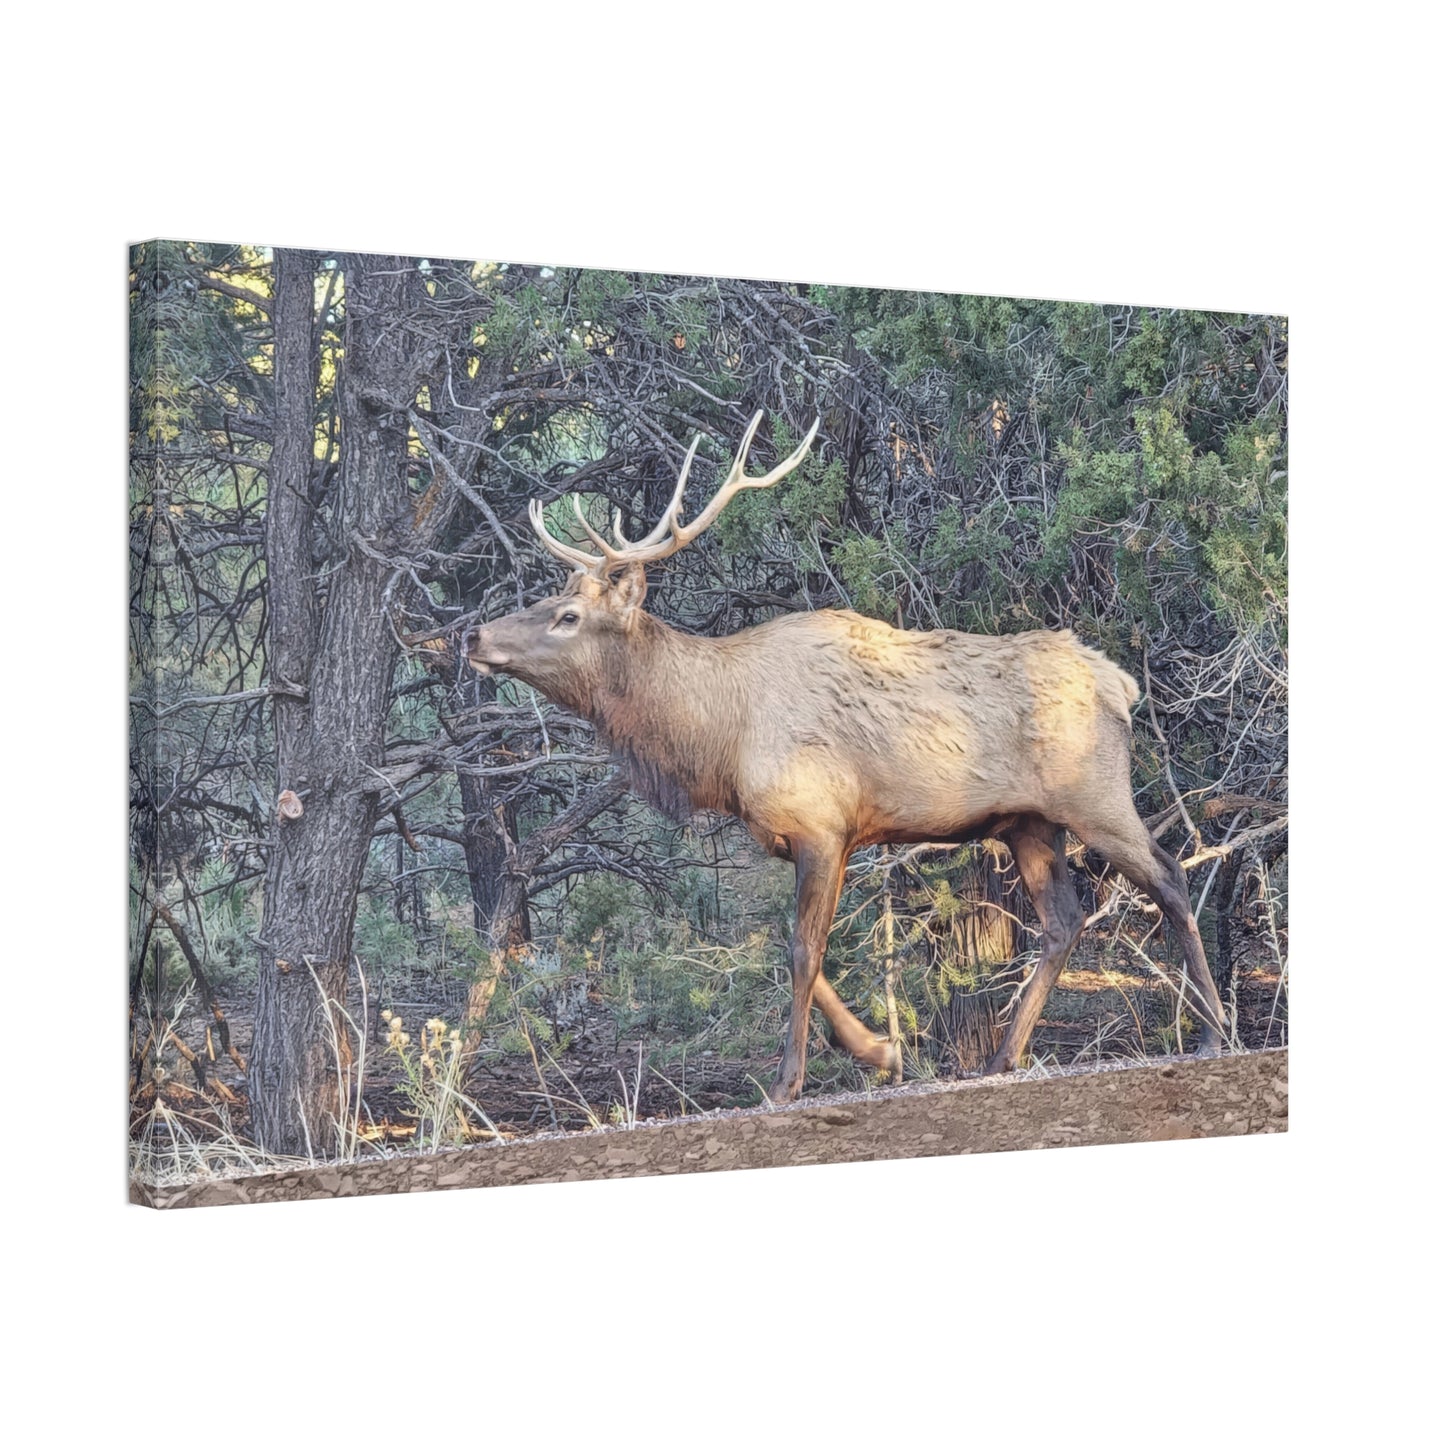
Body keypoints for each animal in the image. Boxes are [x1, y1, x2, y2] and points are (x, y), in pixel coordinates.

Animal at [464, 412, 1231, 1103]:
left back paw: (1213, 1032)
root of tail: (1120, 682)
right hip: (1027, 821)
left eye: (567, 616)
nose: (473, 634)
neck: (720, 742)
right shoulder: (803, 834)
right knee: (1063, 919)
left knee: (1169, 876)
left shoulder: (820, 822)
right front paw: (883, 1051)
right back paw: (1001, 1056)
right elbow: (804, 953)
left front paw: (787, 1081)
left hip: (1092, 795)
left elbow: (802, 951)